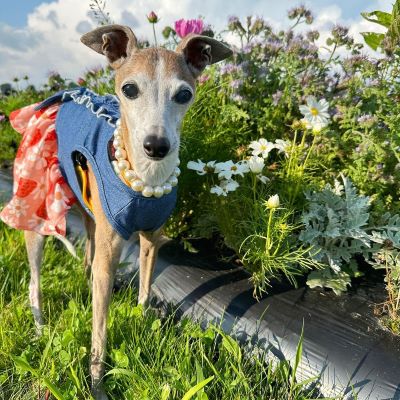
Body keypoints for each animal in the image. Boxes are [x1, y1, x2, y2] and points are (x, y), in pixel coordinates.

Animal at [0, 24, 231, 396]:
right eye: (129, 89)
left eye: (184, 94)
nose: (156, 146)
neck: (145, 180)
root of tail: (65, 94)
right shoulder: (111, 251)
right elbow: (100, 328)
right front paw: (97, 383)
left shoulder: (151, 240)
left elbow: (146, 290)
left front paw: (141, 321)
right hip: (36, 212)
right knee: (35, 280)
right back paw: (39, 327)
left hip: (90, 214)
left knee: (89, 254)